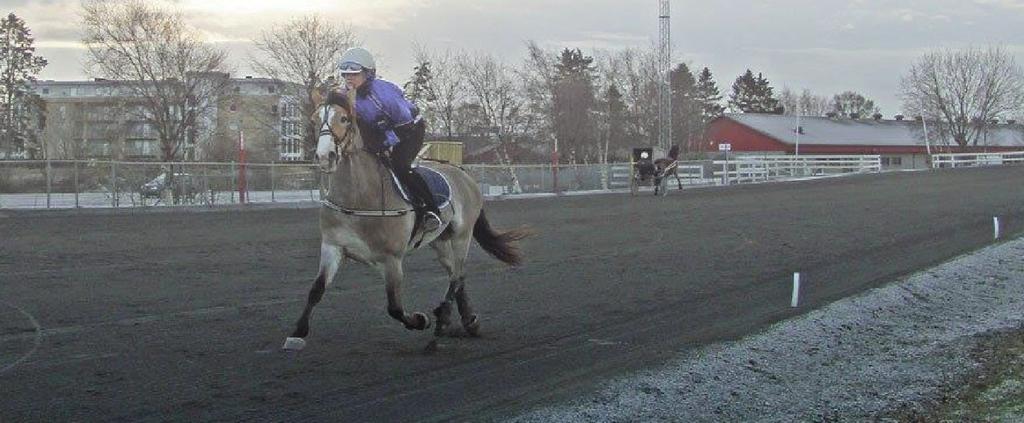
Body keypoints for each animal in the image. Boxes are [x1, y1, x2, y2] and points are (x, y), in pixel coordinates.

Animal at [284, 83, 532, 350]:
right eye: (314, 119)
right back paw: (468, 321)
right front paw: (297, 332)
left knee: (457, 276)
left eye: (344, 118)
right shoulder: (333, 247)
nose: (324, 156)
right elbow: (316, 289)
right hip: (440, 241)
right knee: (457, 274)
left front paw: (420, 320)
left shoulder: (391, 259)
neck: (359, 198)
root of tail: (463, 173)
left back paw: (443, 318)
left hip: (462, 236)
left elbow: (394, 306)